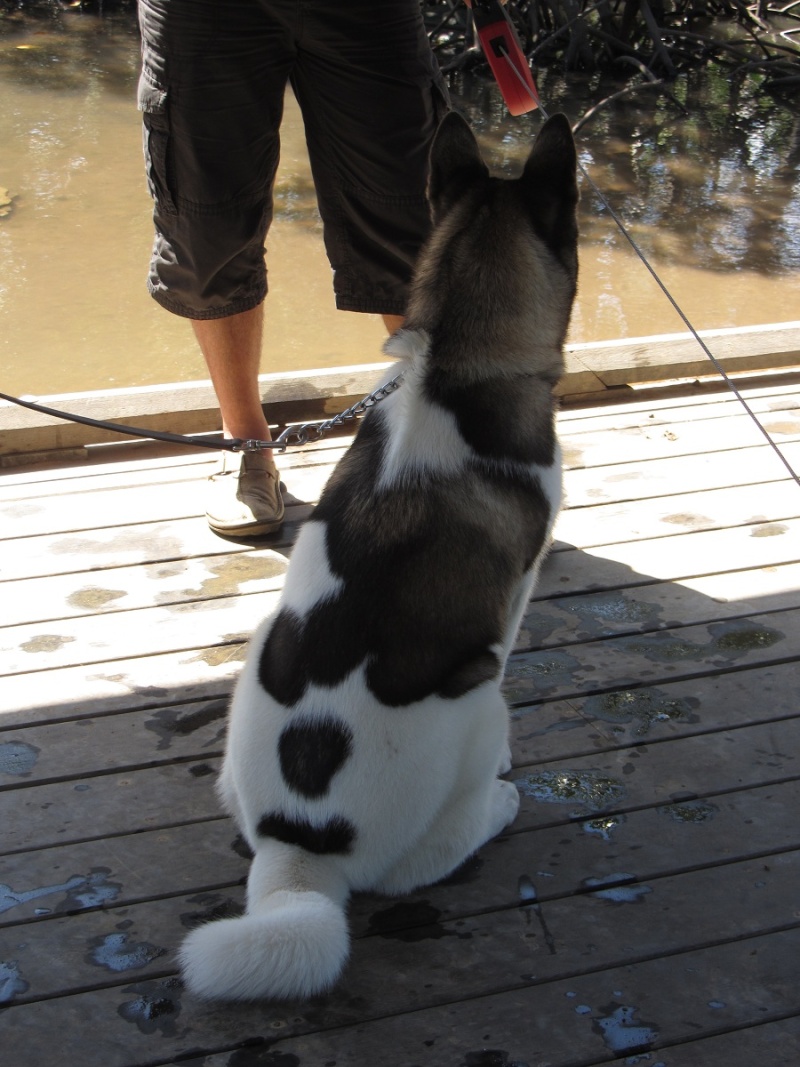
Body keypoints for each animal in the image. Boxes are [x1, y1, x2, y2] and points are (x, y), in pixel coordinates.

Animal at [180, 110, 584, 998]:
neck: (453, 368)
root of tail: (302, 850)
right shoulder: (516, 595)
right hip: (477, 697)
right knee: (418, 865)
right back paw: (498, 804)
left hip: (259, 646)